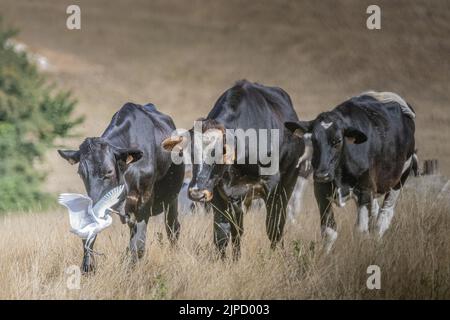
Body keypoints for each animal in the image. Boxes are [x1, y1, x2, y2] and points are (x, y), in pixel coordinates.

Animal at [58, 102, 185, 272]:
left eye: (109, 171)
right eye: (80, 173)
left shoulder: (144, 203)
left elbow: (139, 245)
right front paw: (88, 265)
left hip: (172, 198)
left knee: (172, 228)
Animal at [162, 80, 306, 260]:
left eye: (219, 153)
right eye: (191, 153)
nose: (196, 193)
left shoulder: (272, 189)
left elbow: (272, 227)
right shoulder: (218, 192)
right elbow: (222, 232)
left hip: (288, 183)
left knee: (277, 224)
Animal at [286, 91, 416, 251]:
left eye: (338, 141)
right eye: (314, 140)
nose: (322, 174)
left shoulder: (365, 190)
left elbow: (361, 231)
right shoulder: (321, 190)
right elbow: (329, 231)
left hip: (400, 177)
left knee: (384, 216)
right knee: (375, 211)